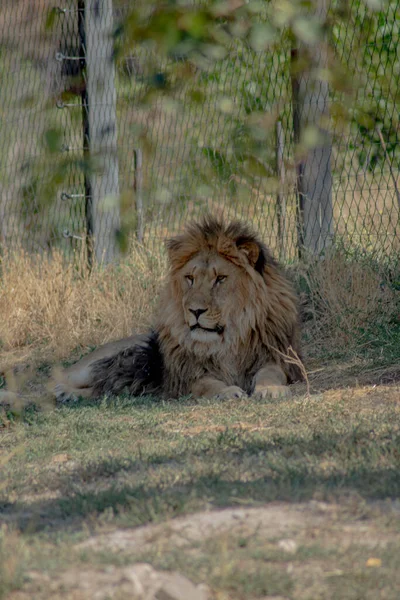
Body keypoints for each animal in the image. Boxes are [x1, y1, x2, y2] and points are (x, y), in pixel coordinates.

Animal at [53, 217, 304, 404]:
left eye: (221, 279)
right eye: (190, 278)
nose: (195, 311)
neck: (229, 340)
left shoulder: (276, 357)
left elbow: (271, 373)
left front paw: (271, 389)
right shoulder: (189, 375)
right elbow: (208, 384)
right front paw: (227, 392)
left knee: (100, 388)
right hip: (92, 364)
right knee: (58, 376)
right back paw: (62, 392)